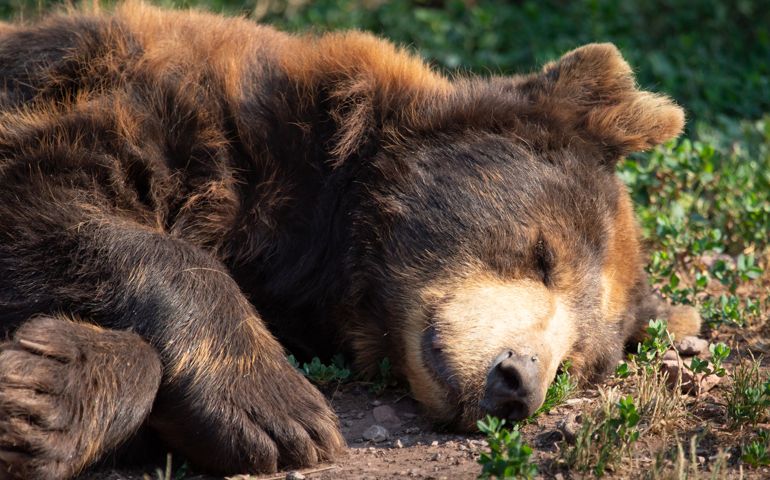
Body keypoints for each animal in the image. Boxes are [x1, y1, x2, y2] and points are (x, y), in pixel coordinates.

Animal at [0, 2, 701, 479]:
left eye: (576, 363)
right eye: (542, 253)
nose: (518, 384)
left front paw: (43, 386)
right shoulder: (147, 107)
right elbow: (56, 201)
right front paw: (278, 411)